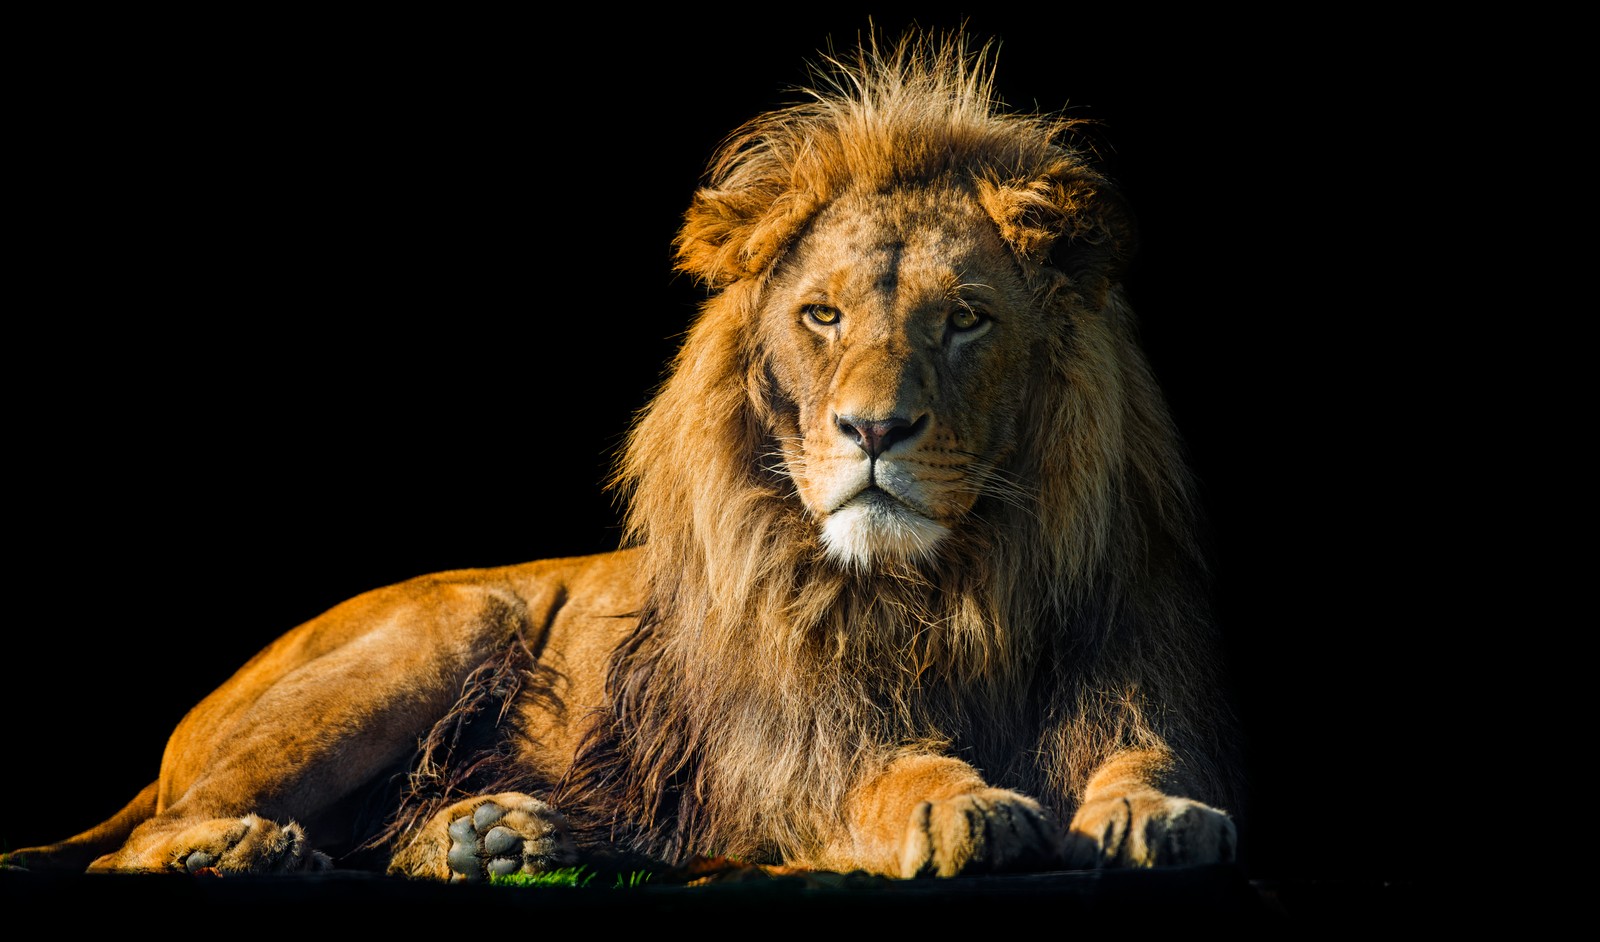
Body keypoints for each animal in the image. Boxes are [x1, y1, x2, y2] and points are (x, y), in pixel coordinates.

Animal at [0, 31, 1241, 882]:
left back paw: (488, 837)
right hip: (434, 636)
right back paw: (237, 850)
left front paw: (1156, 815)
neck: (947, 586)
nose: (873, 431)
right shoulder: (785, 751)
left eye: (965, 321)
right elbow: (881, 772)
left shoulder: (1124, 676)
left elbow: (1146, 761)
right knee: (132, 846)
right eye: (824, 316)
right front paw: (955, 804)